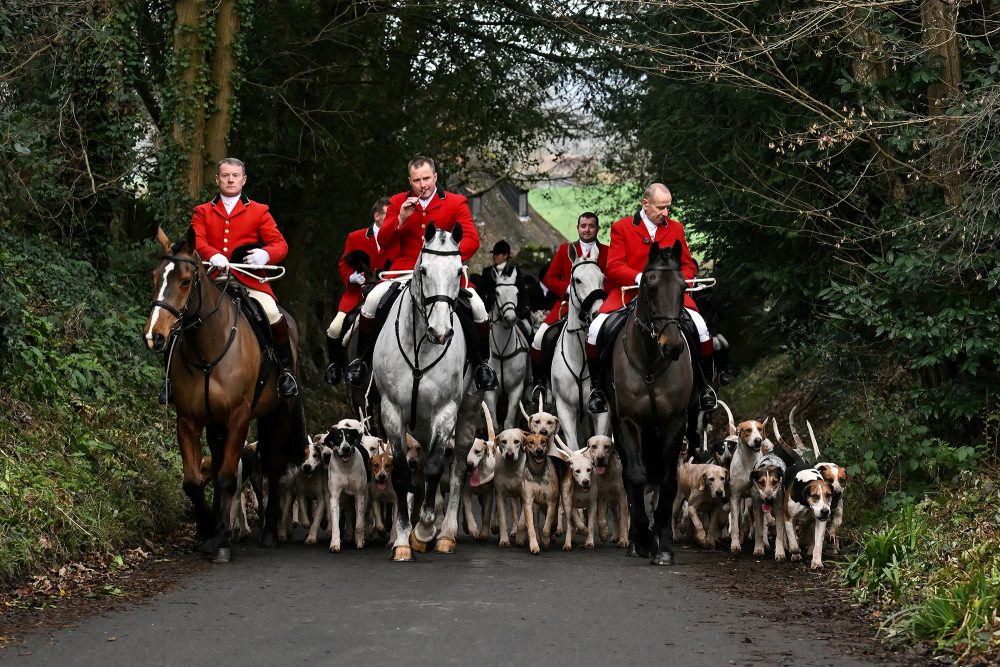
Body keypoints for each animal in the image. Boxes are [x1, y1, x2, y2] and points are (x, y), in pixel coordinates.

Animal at [142, 226, 304, 564]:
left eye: (185, 281)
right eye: (154, 276)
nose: (154, 336)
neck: (208, 348)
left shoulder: (238, 418)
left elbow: (228, 477)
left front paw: (224, 542)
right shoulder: (189, 420)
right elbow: (193, 481)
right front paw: (208, 531)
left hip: (279, 412)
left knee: (273, 464)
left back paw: (269, 532)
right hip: (216, 424)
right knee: (217, 465)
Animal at [374, 226, 486, 564]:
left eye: (458, 271)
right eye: (423, 270)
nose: (441, 332)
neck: (421, 345)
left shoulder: (446, 411)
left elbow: (437, 468)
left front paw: (424, 530)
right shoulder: (391, 411)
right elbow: (401, 474)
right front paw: (402, 541)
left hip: (466, 415)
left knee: (457, 469)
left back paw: (445, 533)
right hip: (421, 423)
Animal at [484, 264, 532, 428]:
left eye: (516, 292)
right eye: (497, 293)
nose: (510, 318)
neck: (502, 354)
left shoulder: (516, 390)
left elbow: (509, 423)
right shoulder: (490, 392)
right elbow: (494, 423)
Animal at [608, 239, 696, 564]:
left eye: (683, 287)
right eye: (651, 286)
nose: (672, 347)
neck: (649, 362)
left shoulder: (675, 422)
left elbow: (669, 480)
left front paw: (664, 542)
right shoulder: (627, 421)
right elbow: (635, 475)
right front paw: (644, 538)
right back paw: (637, 538)